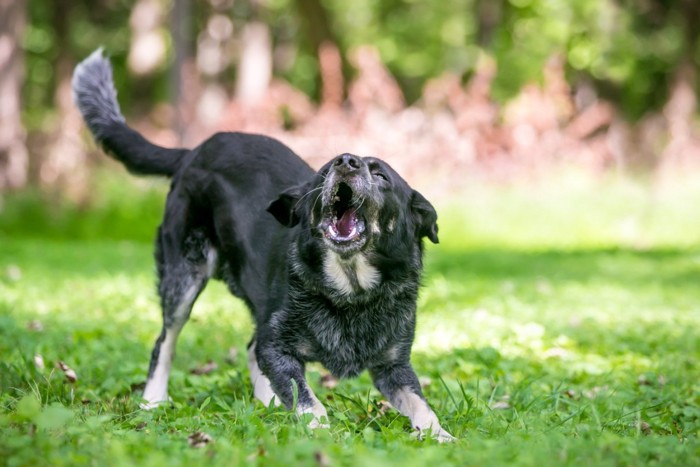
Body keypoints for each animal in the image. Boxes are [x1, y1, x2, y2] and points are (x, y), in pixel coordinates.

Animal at [71, 50, 454, 442]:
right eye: (324, 171)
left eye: (380, 175)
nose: (345, 161)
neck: (351, 291)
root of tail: (192, 152)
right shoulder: (278, 346)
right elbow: (306, 396)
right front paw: (319, 429)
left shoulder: (395, 365)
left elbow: (421, 405)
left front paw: (441, 436)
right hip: (184, 277)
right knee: (165, 341)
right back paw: (153, 401)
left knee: (248, 348)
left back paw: (267, 404)